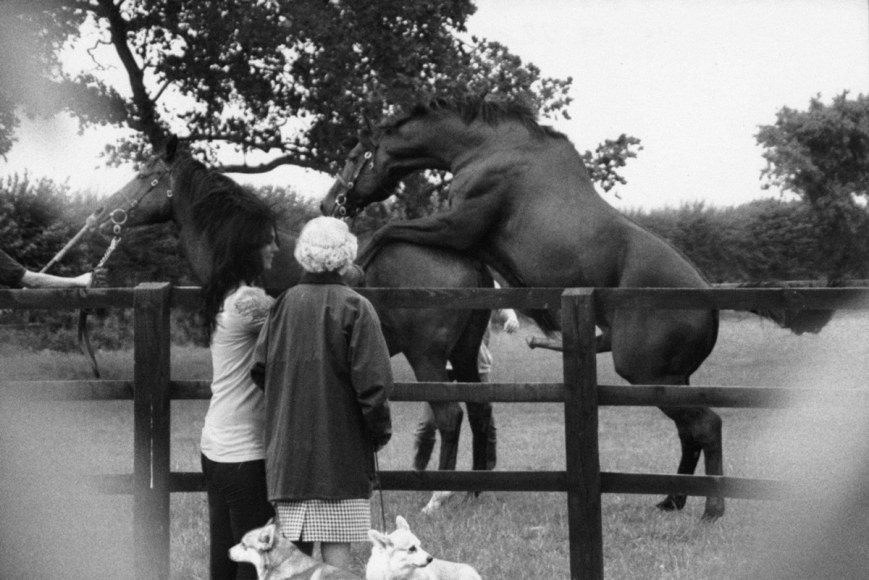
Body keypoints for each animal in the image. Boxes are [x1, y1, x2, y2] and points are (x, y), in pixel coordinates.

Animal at [91, 136, 497, 484]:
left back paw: (439, 495)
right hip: (464, 354)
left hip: (427, 357)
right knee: (479, 410)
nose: (100, 214)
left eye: (143, 175)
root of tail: (469, 260)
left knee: (451, 416)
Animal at [320, 96, 832, 521]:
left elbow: (384, 232)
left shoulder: (457, 227)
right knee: (690, 432)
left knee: (707, 425)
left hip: (644, 372)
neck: (489, 150)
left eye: (353, 156)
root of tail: (708, 298)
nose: (329, 202)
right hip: (669, 378)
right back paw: (671, 500)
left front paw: (353, 267)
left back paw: (711, 509)